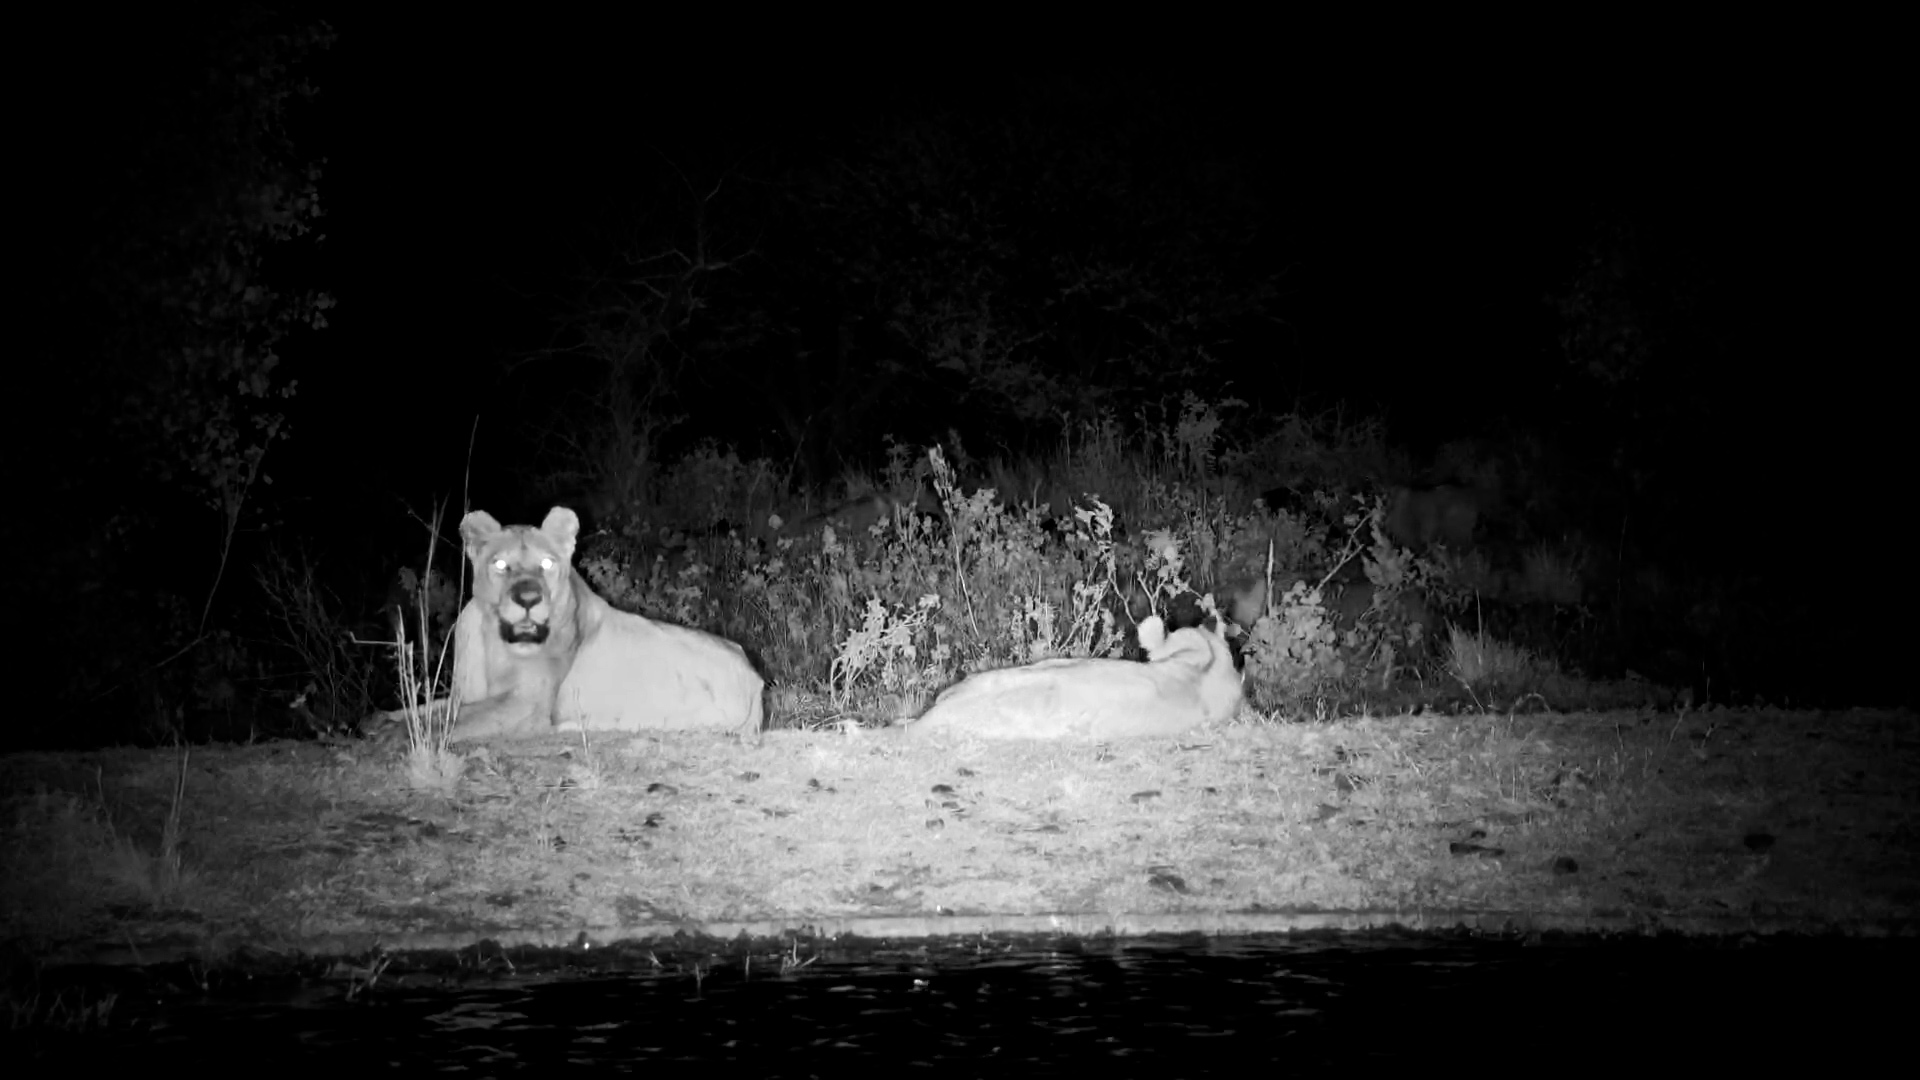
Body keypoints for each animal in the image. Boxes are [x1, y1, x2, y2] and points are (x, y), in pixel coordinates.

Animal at [432, 507, 764, 743]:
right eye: (500, 564)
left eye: (547, 563)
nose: (528, 598)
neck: (496, 641)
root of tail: (755, 675)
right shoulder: (464, 696)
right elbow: (431, 712)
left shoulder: (526, 706)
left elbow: (445, 724)